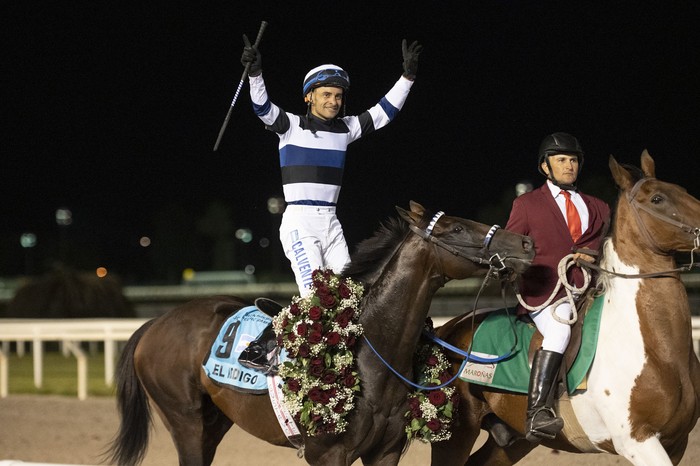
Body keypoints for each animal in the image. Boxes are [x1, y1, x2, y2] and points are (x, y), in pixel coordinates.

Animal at [108, 201, 536, 466]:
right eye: (457, 227)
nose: (525, 242)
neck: (371, 353)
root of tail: (155, 323)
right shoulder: (328, 454)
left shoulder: (386, 451)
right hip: (185, 421)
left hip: (215, 422)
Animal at [432, 151, 700, 464]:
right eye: (658, 199)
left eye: (682, 190)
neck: (656, 349)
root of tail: (450, 327)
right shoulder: (638, 442)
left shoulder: (676, 443)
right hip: (455, 434)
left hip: (510, 439)